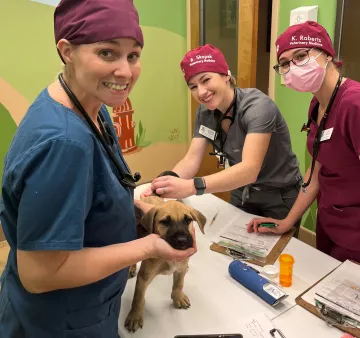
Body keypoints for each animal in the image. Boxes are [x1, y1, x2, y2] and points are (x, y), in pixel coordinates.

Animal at [126, 197, 205, 332]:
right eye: (165, 222)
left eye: (188, 220)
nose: (182, 240)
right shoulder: (144, 276)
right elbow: (138, 298)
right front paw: (135, 316)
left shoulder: (180, 269)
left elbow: (179, 284)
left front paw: (178, 297)